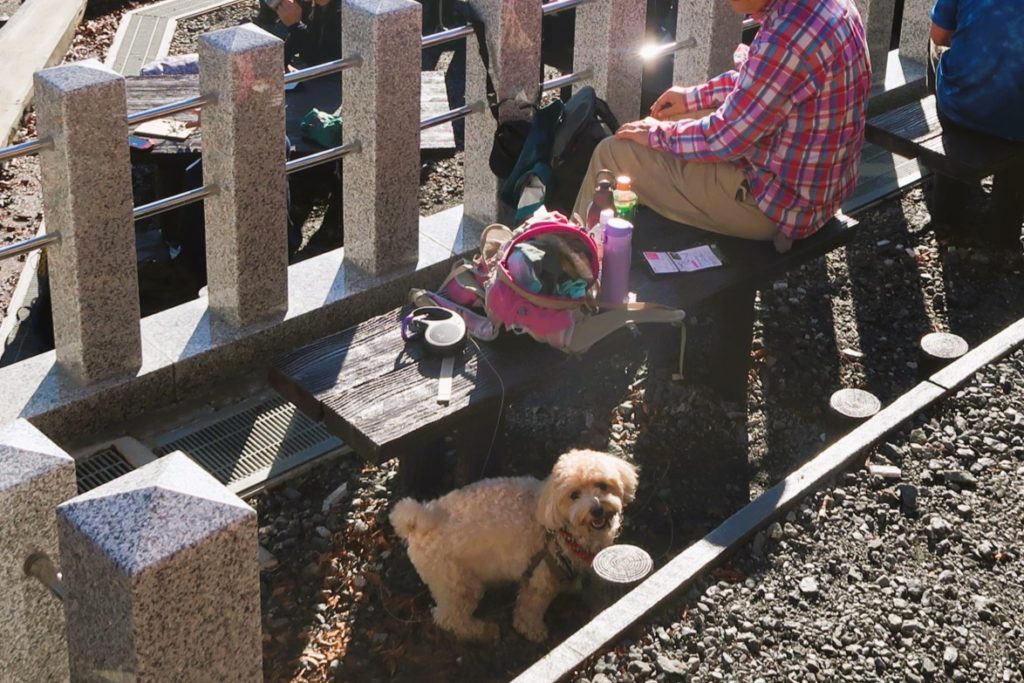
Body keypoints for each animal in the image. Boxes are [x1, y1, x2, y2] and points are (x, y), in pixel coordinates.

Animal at [390, 449, 638, 642]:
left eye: (602, 485)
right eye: (574, 495)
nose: (596, 509)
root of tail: (420, 519)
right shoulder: (540, 580)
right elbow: (529, 610)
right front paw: (533, 631)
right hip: (459, 583)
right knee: (449, 618)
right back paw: (483, 631)